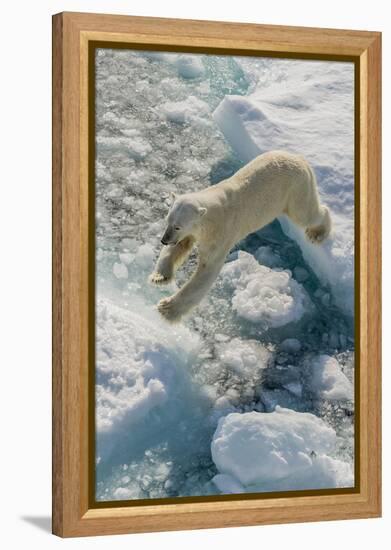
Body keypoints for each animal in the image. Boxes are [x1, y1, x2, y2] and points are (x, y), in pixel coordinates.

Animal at [149, 151, 330, 324]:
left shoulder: (221, 232)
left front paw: (166, 308)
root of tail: (299, 158)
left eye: (178, 226)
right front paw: (159, 277)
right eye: (168, 221)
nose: (164, 240)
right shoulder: (194, 231)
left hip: (295, 188)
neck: (211, 214)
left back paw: (317, 233)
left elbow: (207, 269)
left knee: (306, 214)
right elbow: (180, 246)